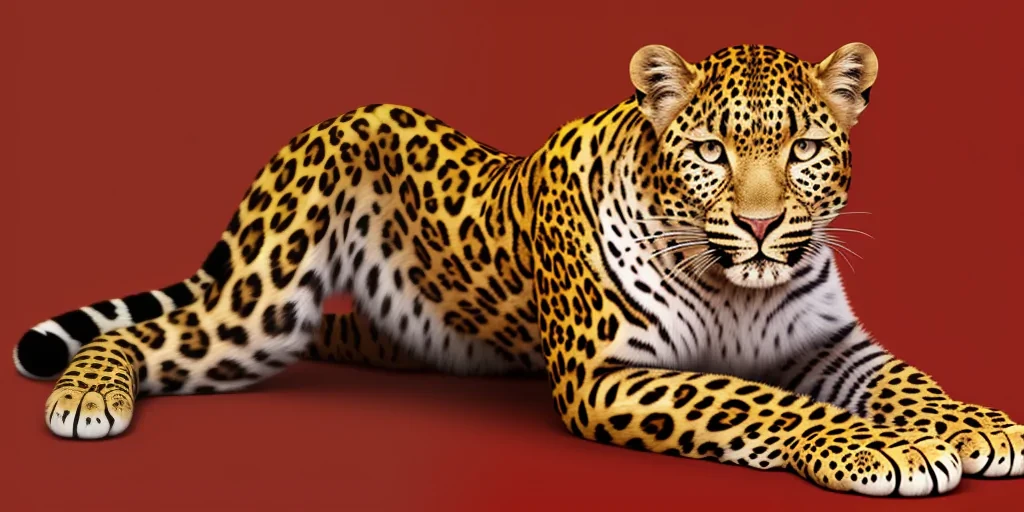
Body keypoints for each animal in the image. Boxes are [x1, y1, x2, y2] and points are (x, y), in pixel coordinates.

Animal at [14, 42, 1023, 497]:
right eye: (709, 149)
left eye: (807, 147)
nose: (763, 224)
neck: (737, 289)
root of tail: (326, 117)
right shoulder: (609, 376)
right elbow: (760, 402)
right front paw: (885, 450)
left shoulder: (831, 342)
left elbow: (909, 380)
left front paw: (976, 426)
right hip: (254, 314)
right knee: (150, 334)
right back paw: (88, 395)